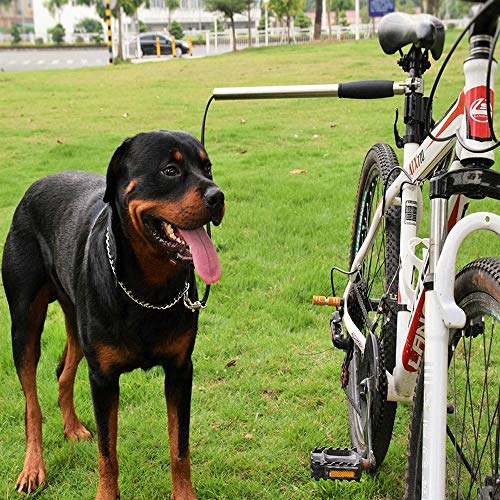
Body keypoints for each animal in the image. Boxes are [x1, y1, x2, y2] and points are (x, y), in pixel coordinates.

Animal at [1, 131, 225, 498]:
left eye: (207, 168)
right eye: (170, 170)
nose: (218, 196)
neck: (149, 290)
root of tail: (37, 184)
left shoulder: (180, 370)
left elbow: (179, 447)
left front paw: (184, 494)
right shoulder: (103, 378)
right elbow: (107, 453)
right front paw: (106, 493)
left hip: (76, 321)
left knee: (63, 371)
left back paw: (72, 427)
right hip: (24, 323)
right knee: (31, 403)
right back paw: (33, 467)